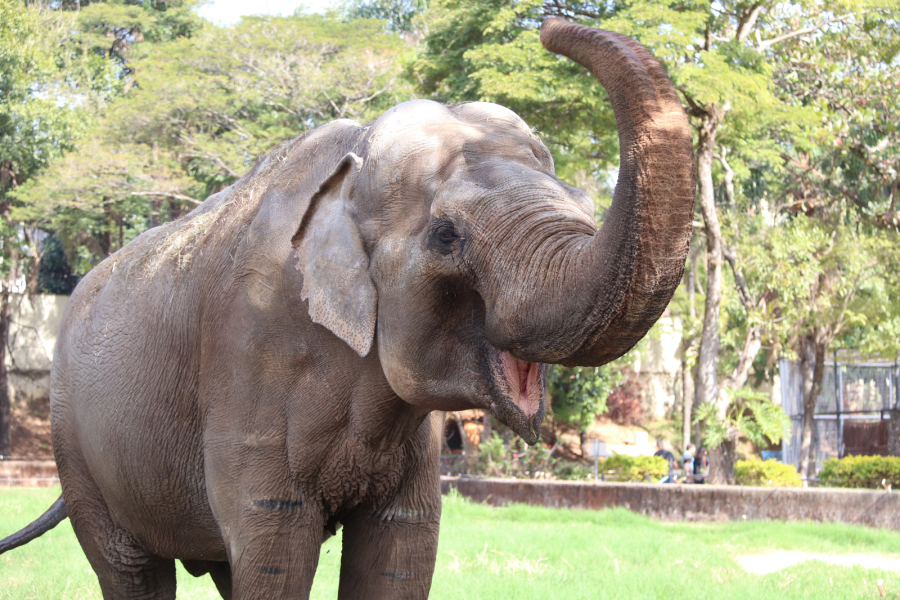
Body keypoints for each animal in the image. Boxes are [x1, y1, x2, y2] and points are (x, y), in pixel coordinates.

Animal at [0, 17, 694, 600]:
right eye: (448, 236)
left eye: (580, 199)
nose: (548, 26)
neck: (347, 168)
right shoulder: (249, 351)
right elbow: (274, 545)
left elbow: (402, 547)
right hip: (74, 446)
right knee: (132, 570)